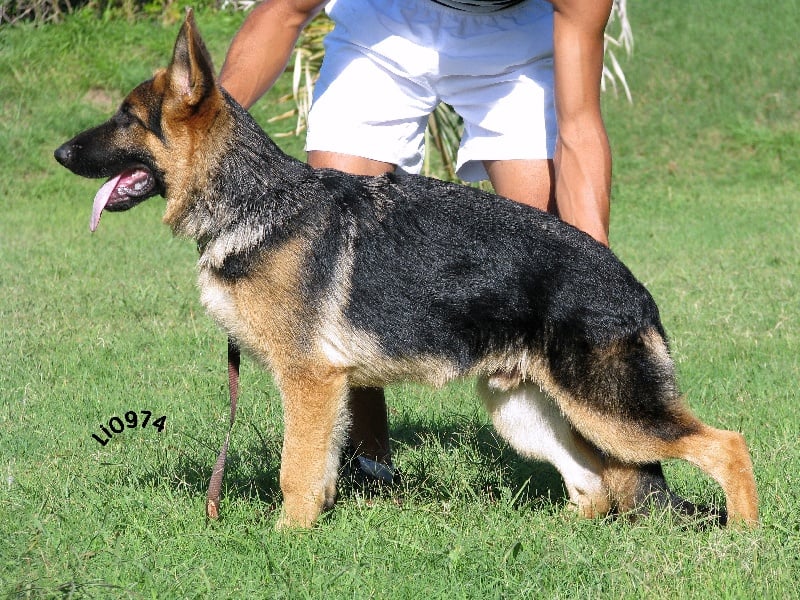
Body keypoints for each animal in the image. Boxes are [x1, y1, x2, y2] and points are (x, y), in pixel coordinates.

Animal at [54, 11, 756, 528]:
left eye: (125, 118)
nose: (59, 152)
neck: (255, 200)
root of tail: (632, 285)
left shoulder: (308, 382)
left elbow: (295, 470)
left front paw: (287, 541)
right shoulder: (327, 388)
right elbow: (317, 468)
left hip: (612, 413)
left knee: (725, 445)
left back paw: (744, 540)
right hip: (525, 412)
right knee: (593, 485)